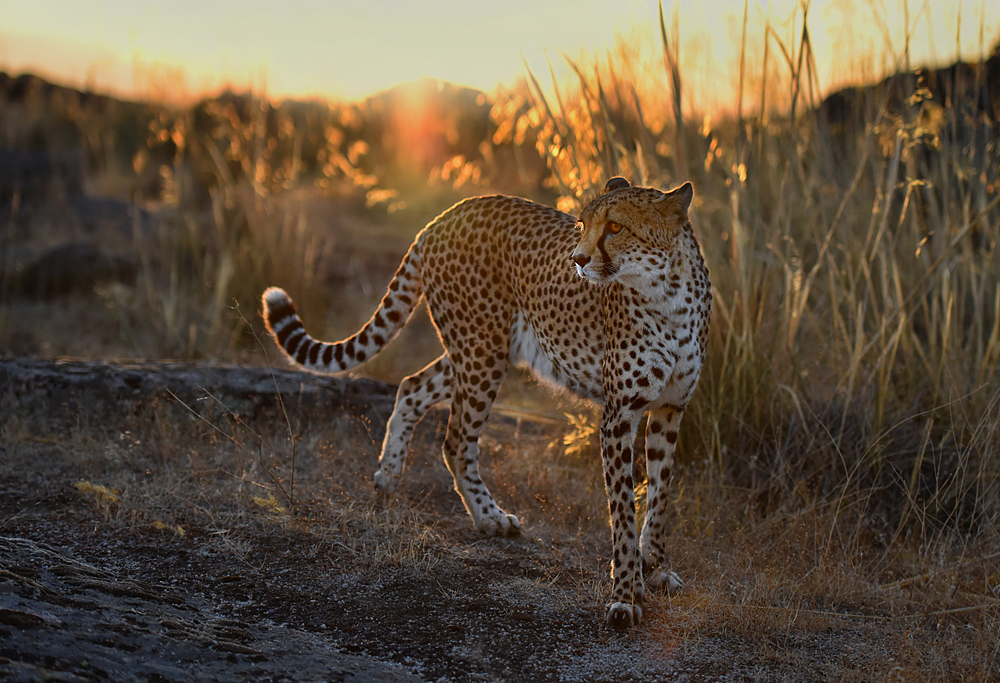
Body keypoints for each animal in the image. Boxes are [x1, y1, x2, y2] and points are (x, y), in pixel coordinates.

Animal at [260, 178, 712, 632]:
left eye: (616, 227)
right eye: (583, 224)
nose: (578, 259)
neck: (669, 294)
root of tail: (451, 212)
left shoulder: (670, 410)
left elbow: (659, 495)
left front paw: (656, 569)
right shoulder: (619, 414)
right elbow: (622, 510)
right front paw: (625, 594)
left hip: (480, 351)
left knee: (411, 386)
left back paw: (388, 476)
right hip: (481, 352)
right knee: (457, 439)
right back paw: (487, 516)